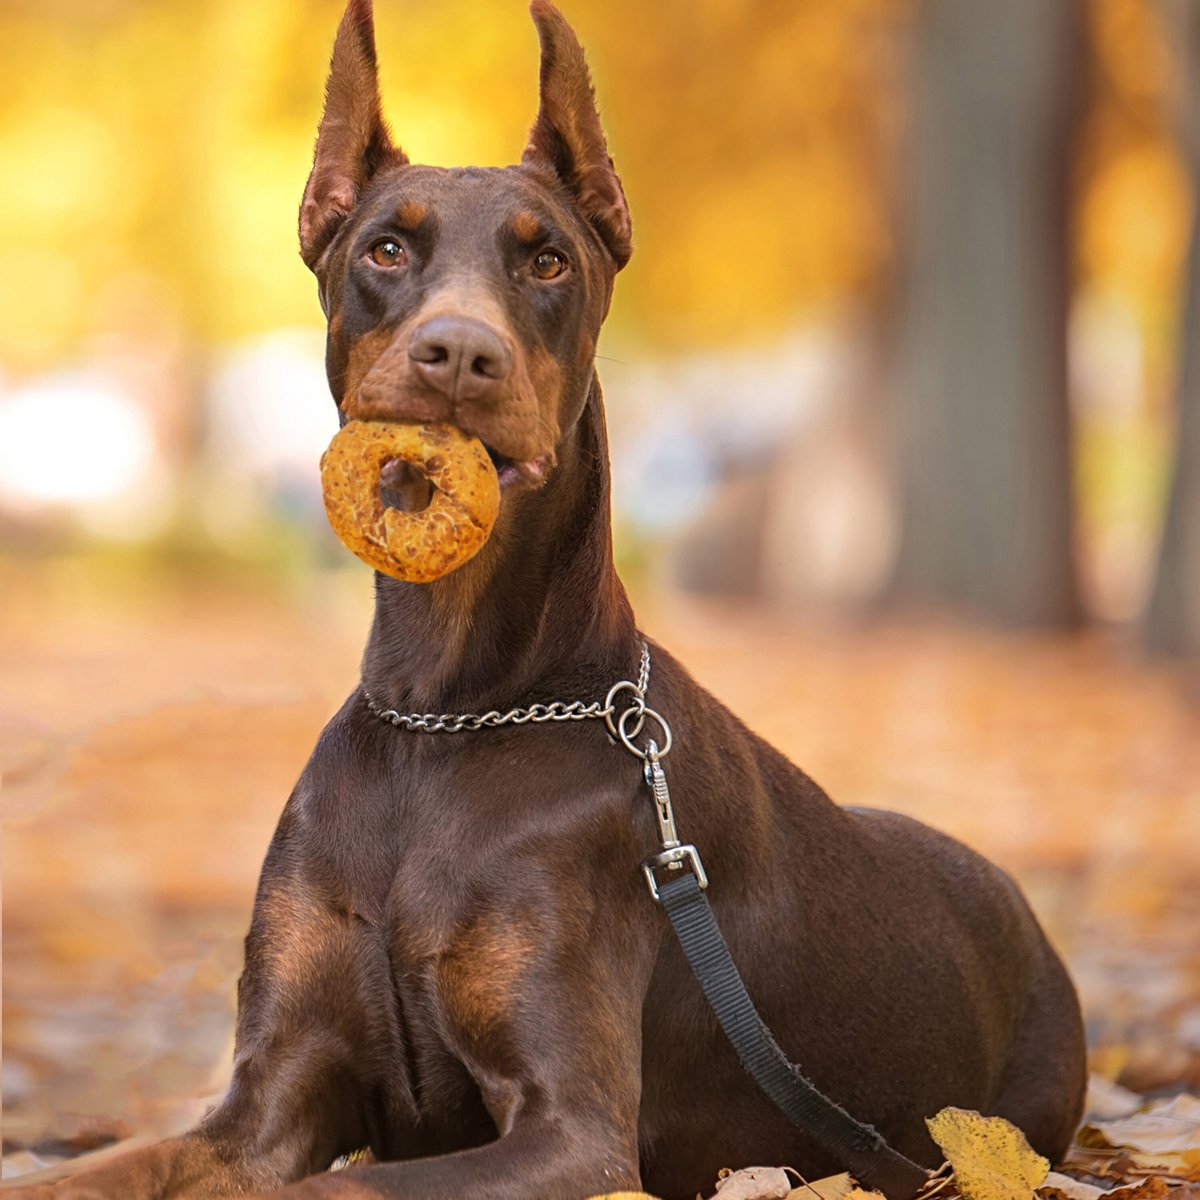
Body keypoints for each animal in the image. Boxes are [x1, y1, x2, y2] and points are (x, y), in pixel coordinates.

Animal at [16, 2, 1089, 1200]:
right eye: (386, 248)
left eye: (547, 259)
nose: (458, 352)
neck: (444, 716)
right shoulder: (265, 1099)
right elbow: (112, 1166)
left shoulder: (571, 1128)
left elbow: (340, 1184)